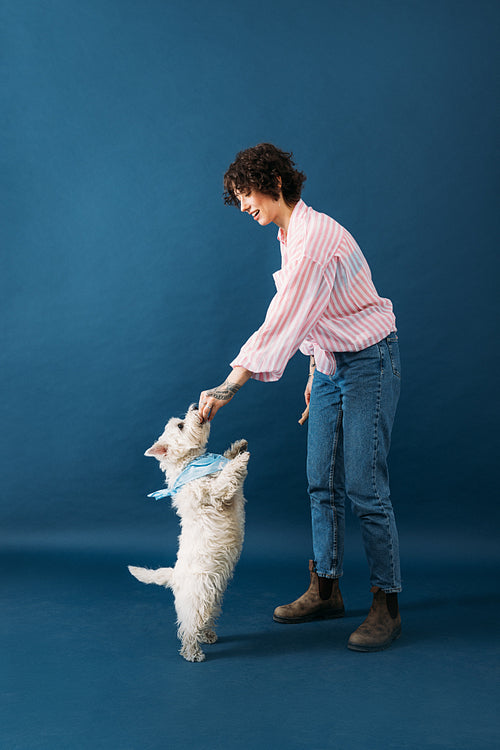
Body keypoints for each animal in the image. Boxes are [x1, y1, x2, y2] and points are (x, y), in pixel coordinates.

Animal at [127, 406, 248, 664]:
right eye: (181, 425)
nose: (195, 407)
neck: (191, 465)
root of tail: (174, 577)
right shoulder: (214, 494)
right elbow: (226, 478)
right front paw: (240, 459)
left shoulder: (232, 492)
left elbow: (228, 466)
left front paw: (238, 448)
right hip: (197, 598)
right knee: (189, 628)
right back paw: (193, 652)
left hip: (213, 597)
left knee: (205, 621)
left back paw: (209, 635)